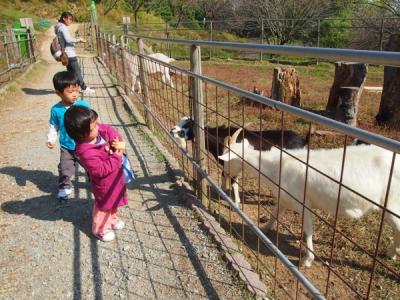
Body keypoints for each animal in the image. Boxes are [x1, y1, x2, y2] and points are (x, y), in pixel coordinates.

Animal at [170, 117, 310, 206]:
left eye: (187, 126)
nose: (172, 130)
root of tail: (304, 140)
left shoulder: (233, 164)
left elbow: (234, 182)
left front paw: (236, 202)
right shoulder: (225, 165)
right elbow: (224, 176)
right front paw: (222, 192)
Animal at [219, 133, 400, 268]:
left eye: (226, 159)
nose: (225, 174)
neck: (277, 167)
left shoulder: (303, 203)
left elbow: (307, 231)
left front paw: (307, 260)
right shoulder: (285, 198)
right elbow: (274, 214)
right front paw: (262, 230)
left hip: (392, 204)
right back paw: (392, 253)